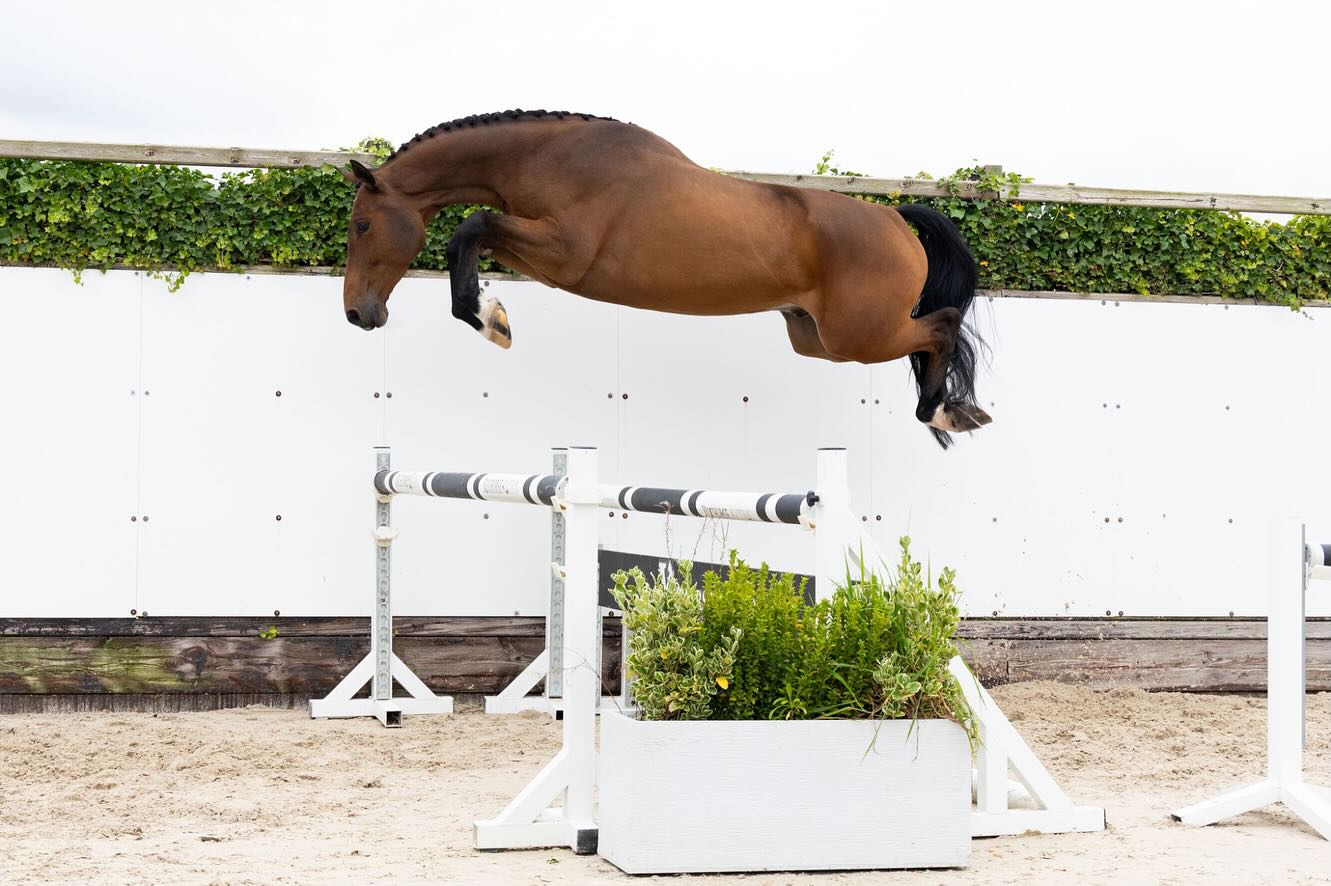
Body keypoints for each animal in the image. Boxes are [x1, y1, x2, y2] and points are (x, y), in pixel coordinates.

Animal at [340, 109, 990, 447]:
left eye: (363, 225)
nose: (357, 314)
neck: (547, 156)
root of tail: (894, 216)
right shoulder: (544, 256)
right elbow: (477, 233)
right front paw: (492, 312)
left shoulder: (565, 253)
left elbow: (470, 228)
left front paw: (490, 320)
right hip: (814, 338)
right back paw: (955, 412)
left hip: (858, 336)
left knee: (942, 326)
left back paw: (943, 412)